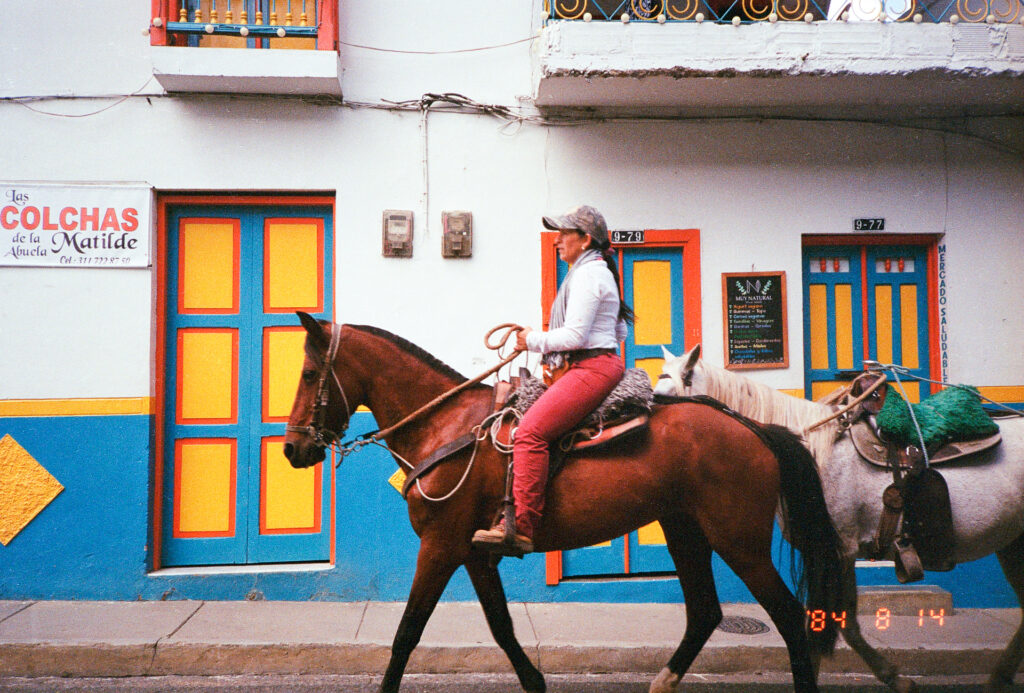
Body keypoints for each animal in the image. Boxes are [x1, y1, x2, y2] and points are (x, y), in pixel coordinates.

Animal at [284, 313, 843, 691]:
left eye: (309, 374)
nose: (292, 449)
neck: (444, 426)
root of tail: (755, 428)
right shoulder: (473, 552)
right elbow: (502, 627)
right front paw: (535, 682)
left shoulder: (440, 547)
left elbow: (406, 634)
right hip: (685, 529)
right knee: (705, 611)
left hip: (738, 542)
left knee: (790, 617)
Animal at [655, 343, 1024, 691]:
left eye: (668, 393)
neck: (810, 449)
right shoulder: (828, 553)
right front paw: (893, 677)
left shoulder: (837, 549)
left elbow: (829, 624)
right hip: (1012, 544)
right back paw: (999, 678)